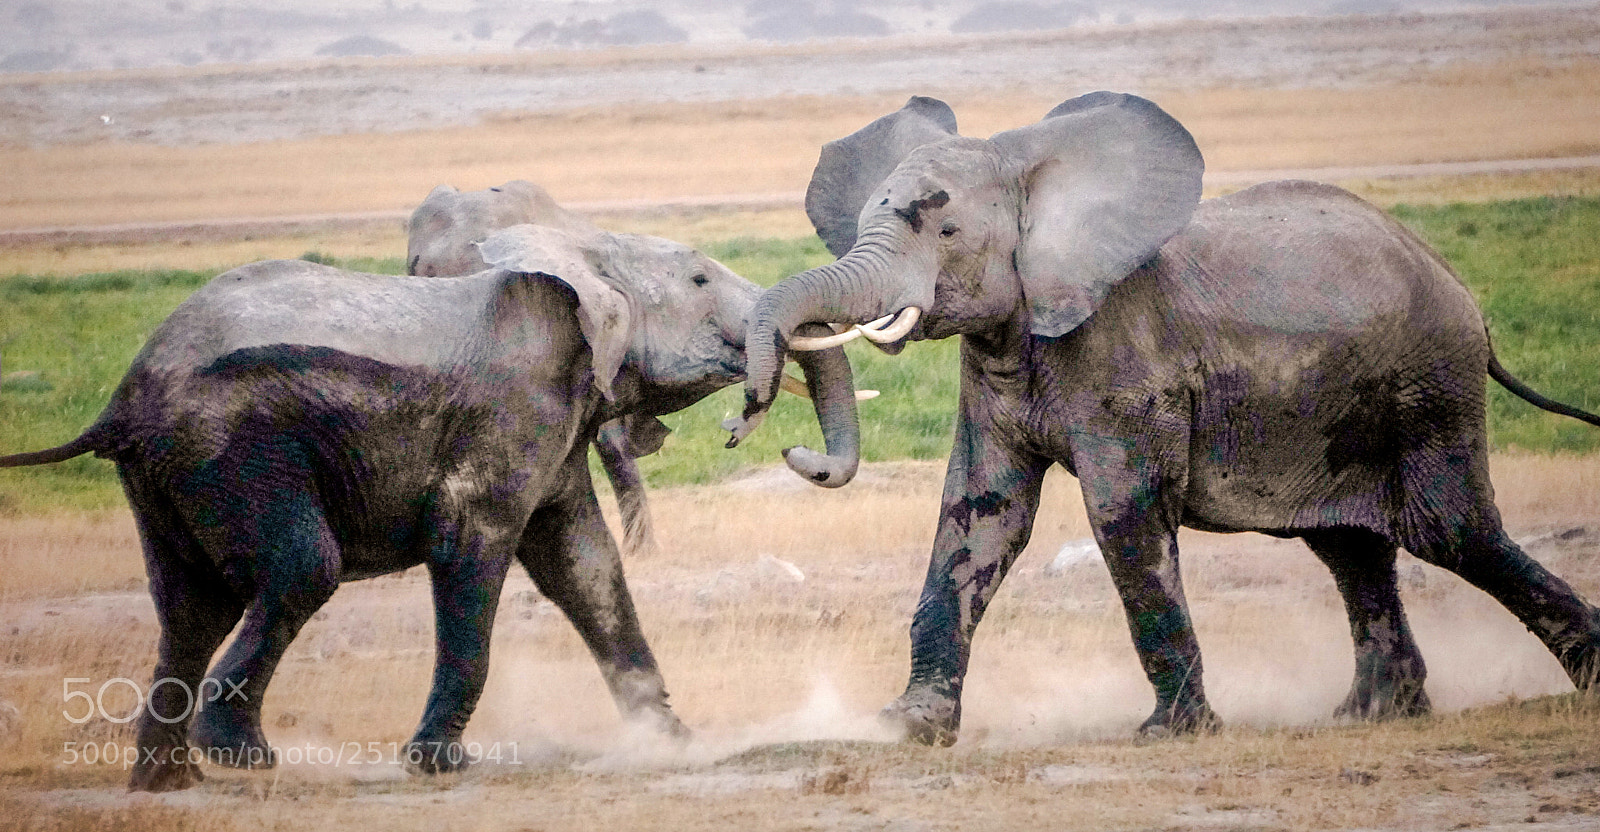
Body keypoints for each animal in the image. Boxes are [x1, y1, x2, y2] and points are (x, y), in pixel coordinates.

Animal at [0, 223, 861, 791]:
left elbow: (584, 567)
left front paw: (673, 745)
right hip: (234, 448)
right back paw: (244, 759)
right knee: (301, 570)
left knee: (189, 607)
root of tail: (123, 400)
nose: (756, 431)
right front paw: (437, 768)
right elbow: (475, 547)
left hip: (171, 473)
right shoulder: (515, 404)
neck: (583, 252)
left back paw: (170, 785)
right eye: (700, 283)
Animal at [729, 91, 1600, 745]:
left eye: (945, 230)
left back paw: (1578, 682)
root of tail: (1462, 293)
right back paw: (1370, 715)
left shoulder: (1125, 356)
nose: (759, 431)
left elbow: (1121, 515)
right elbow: (979, 517)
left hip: (1428, 386)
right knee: (1352, 549)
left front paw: (1170, 733)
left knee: (1452, 533)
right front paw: (905, 729)